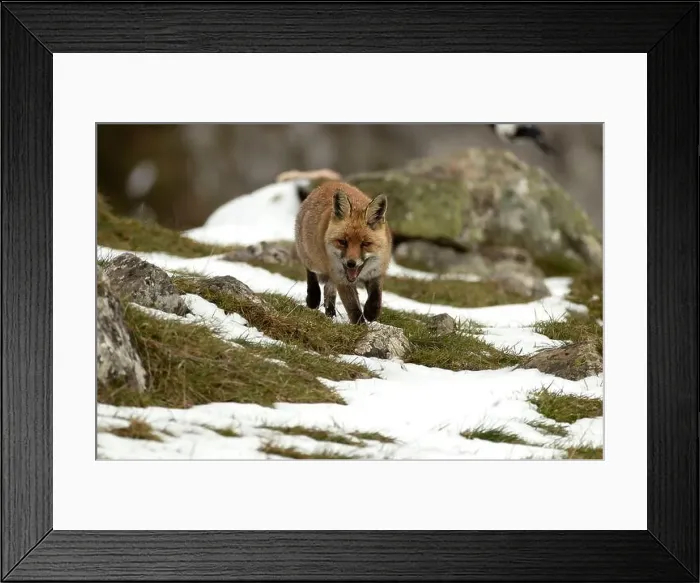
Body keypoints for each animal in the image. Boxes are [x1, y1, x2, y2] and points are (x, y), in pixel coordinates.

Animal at [294, 180, 392, 325]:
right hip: (313, 260)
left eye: (365, 244)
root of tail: (330, 182)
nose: (351, 263)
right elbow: (353, 308)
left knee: (328, 289)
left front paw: (371, 313)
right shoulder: (342, 279)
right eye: (343, 242)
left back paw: (330, 314)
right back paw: (313, 298)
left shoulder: (377, 271)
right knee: (312, 274)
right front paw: (360, 326)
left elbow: (375, 298)